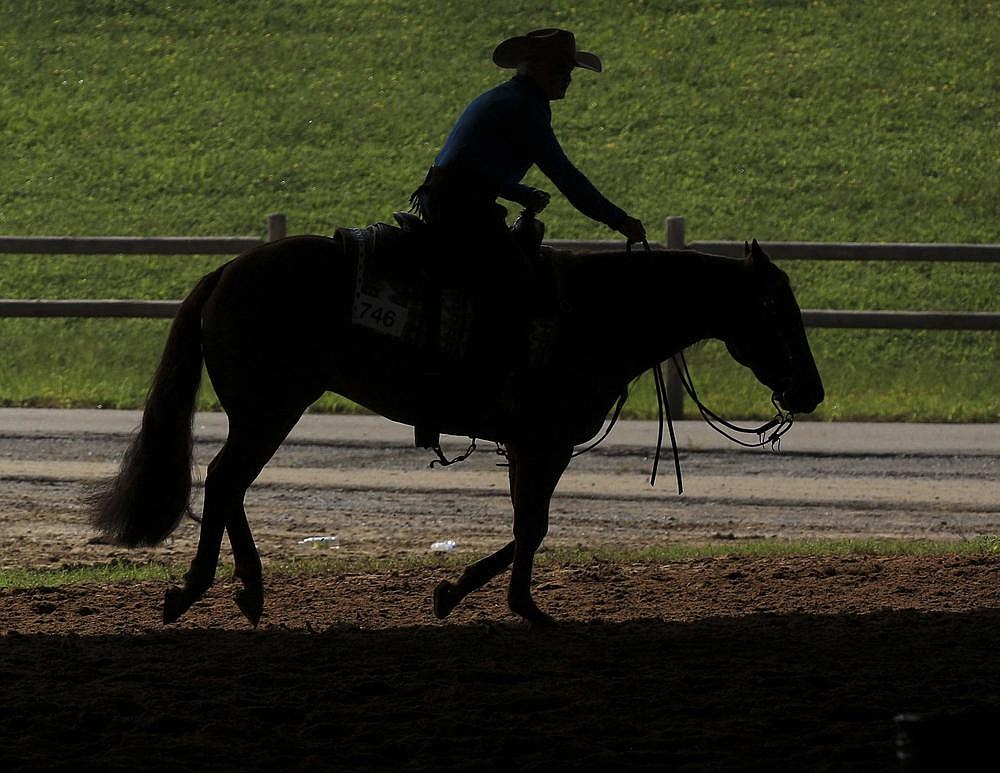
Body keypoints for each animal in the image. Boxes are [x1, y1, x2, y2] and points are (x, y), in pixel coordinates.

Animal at [88, 231, 820, 628]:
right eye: (776, 308)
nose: (810, 390)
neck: (597, 313)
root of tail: (228, 270)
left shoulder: (533, 446)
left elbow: (528, 526)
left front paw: (471, 592)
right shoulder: (543, 442)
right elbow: (533, 527)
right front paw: (500, 601)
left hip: (266, 410)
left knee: (231, 485)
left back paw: (246, 588)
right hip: (271, 407)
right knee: (222, 481)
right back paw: (197, 590)